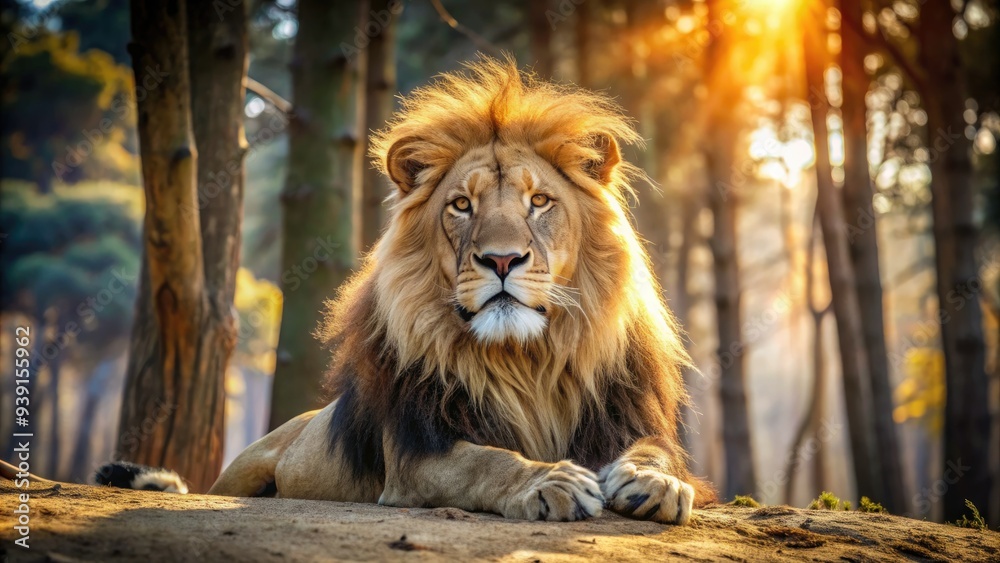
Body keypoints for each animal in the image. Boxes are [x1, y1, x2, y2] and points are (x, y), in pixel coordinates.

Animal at [104, 57, 715, 524]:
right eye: (461, 205)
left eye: (539, 201)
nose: (501, 259)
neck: (526, 361)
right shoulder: (416, 455)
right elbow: (486, 461)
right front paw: (549, 482)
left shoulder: (628, 418)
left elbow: (655, 452)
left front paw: (654, 483)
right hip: (244, 469)